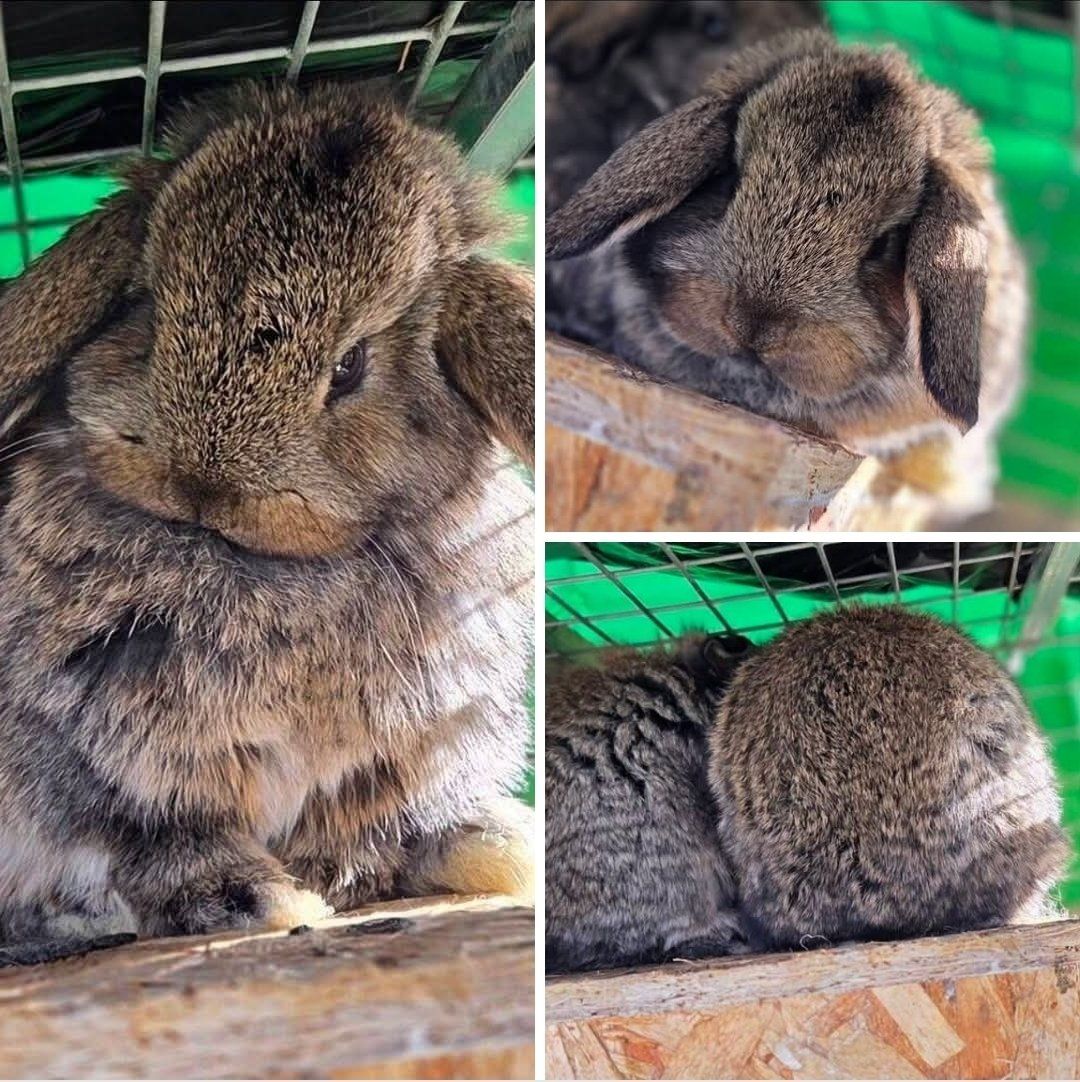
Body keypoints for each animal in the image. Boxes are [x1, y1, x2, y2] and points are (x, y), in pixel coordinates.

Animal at [0, 80, 535, 956]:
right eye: (148, 307)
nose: (203, 483)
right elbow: (154, 838)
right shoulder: (104, 762)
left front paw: (489, 851)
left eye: (351, 366)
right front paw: (256, 900)